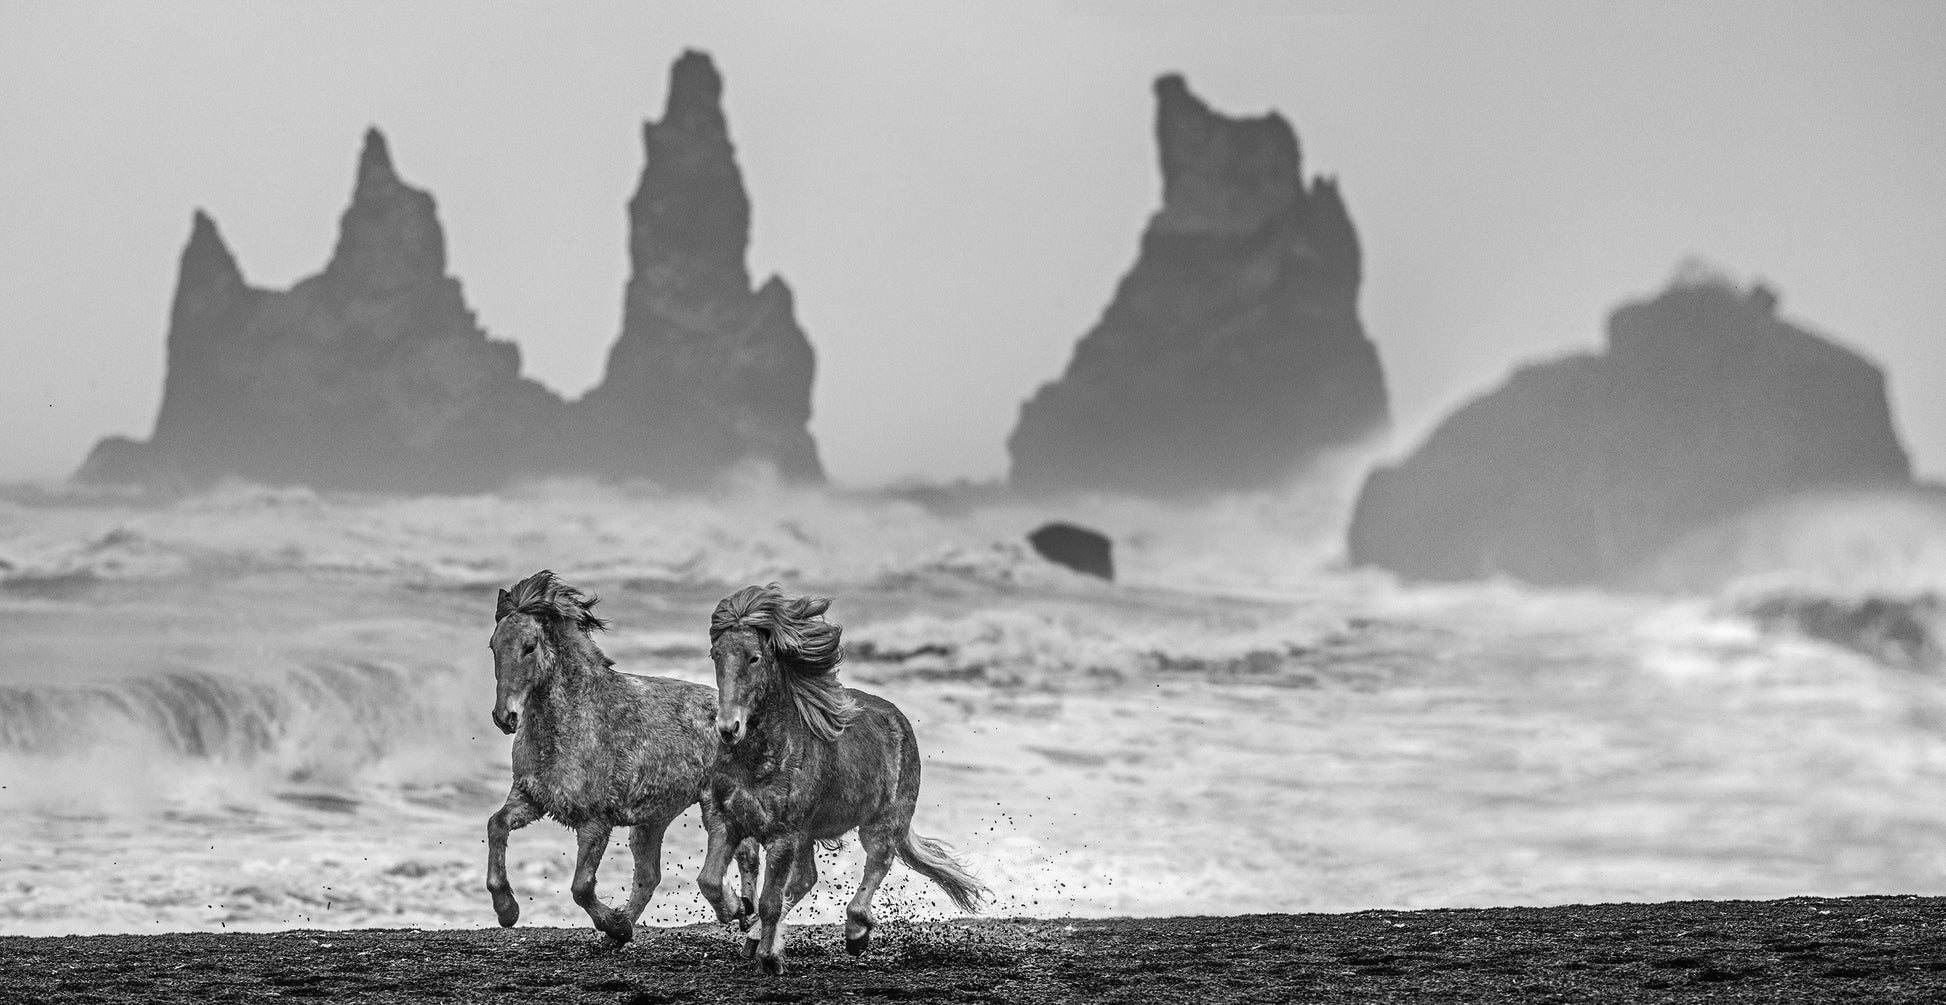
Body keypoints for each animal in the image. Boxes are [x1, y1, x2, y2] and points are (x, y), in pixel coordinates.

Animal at [486, 572, 758, 942]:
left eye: (529, 647)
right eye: (493, 646)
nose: (505, 717)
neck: (571, 722)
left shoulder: (595, 821)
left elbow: (581, 887)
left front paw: (613, 924)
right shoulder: (531, 798)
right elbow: (496, 825)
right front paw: (507, 910)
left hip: (715, 805)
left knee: (738, 859)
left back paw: (739, 910)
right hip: (651, 821)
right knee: (650, 875)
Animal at [700, 580, 988, 973]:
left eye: (754, 657)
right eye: (716, 655)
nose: (729, 728)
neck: (759, 762)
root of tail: (899, 719)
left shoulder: (782, 836)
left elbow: (770, 900)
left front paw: (770, 960)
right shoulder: (726, 821)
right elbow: (710, 880)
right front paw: (737, 912)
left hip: (880, 822)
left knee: (877, 863)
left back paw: (855, 933)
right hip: (809, 834)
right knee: (807, 878)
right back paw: (758, 937)